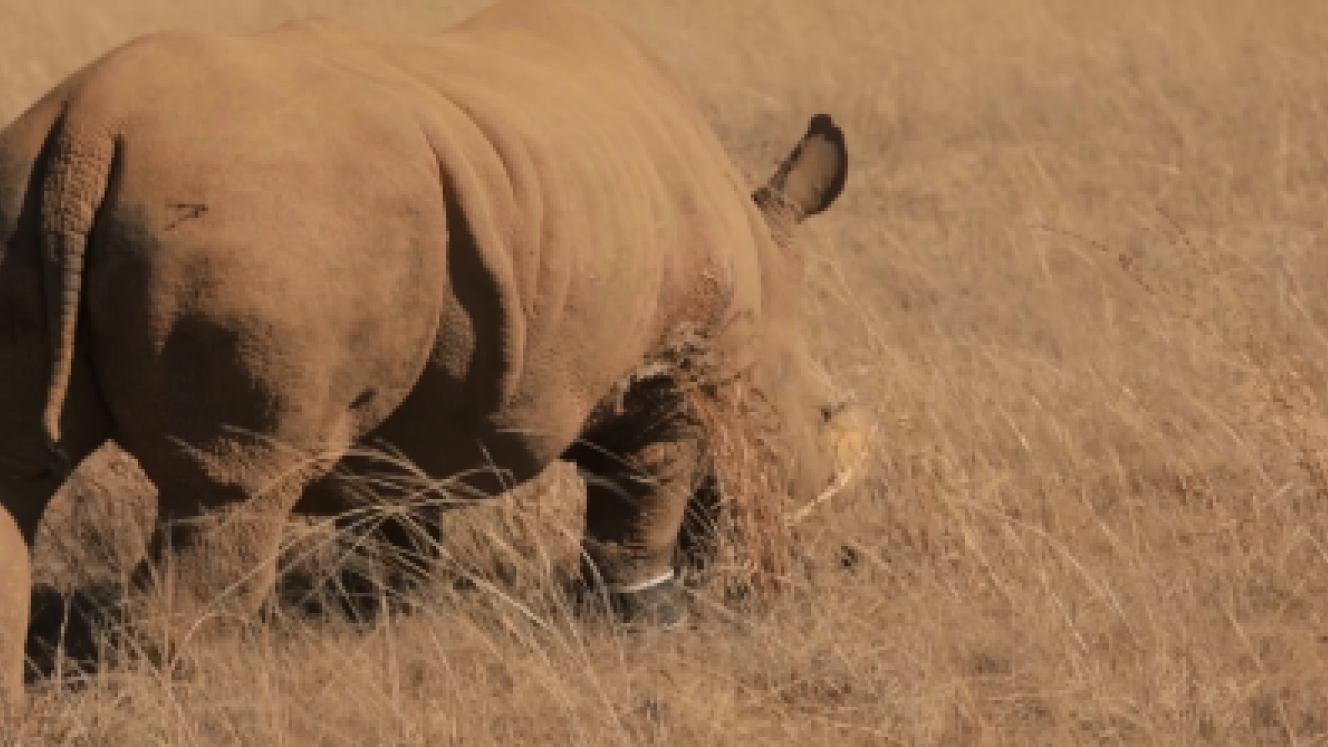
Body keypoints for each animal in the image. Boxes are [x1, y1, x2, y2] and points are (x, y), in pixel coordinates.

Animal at [0, 0, 860, 702]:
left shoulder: (421, 420)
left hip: (23, 194)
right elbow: (641, 501)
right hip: (259, 223)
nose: (831, 564)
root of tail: (85, 130)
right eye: (825, 418)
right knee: (234, 492)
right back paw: (214, 701)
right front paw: (648, 624)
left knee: (21, 479)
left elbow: (395, 535)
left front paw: (376, 631)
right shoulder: (673, 379)